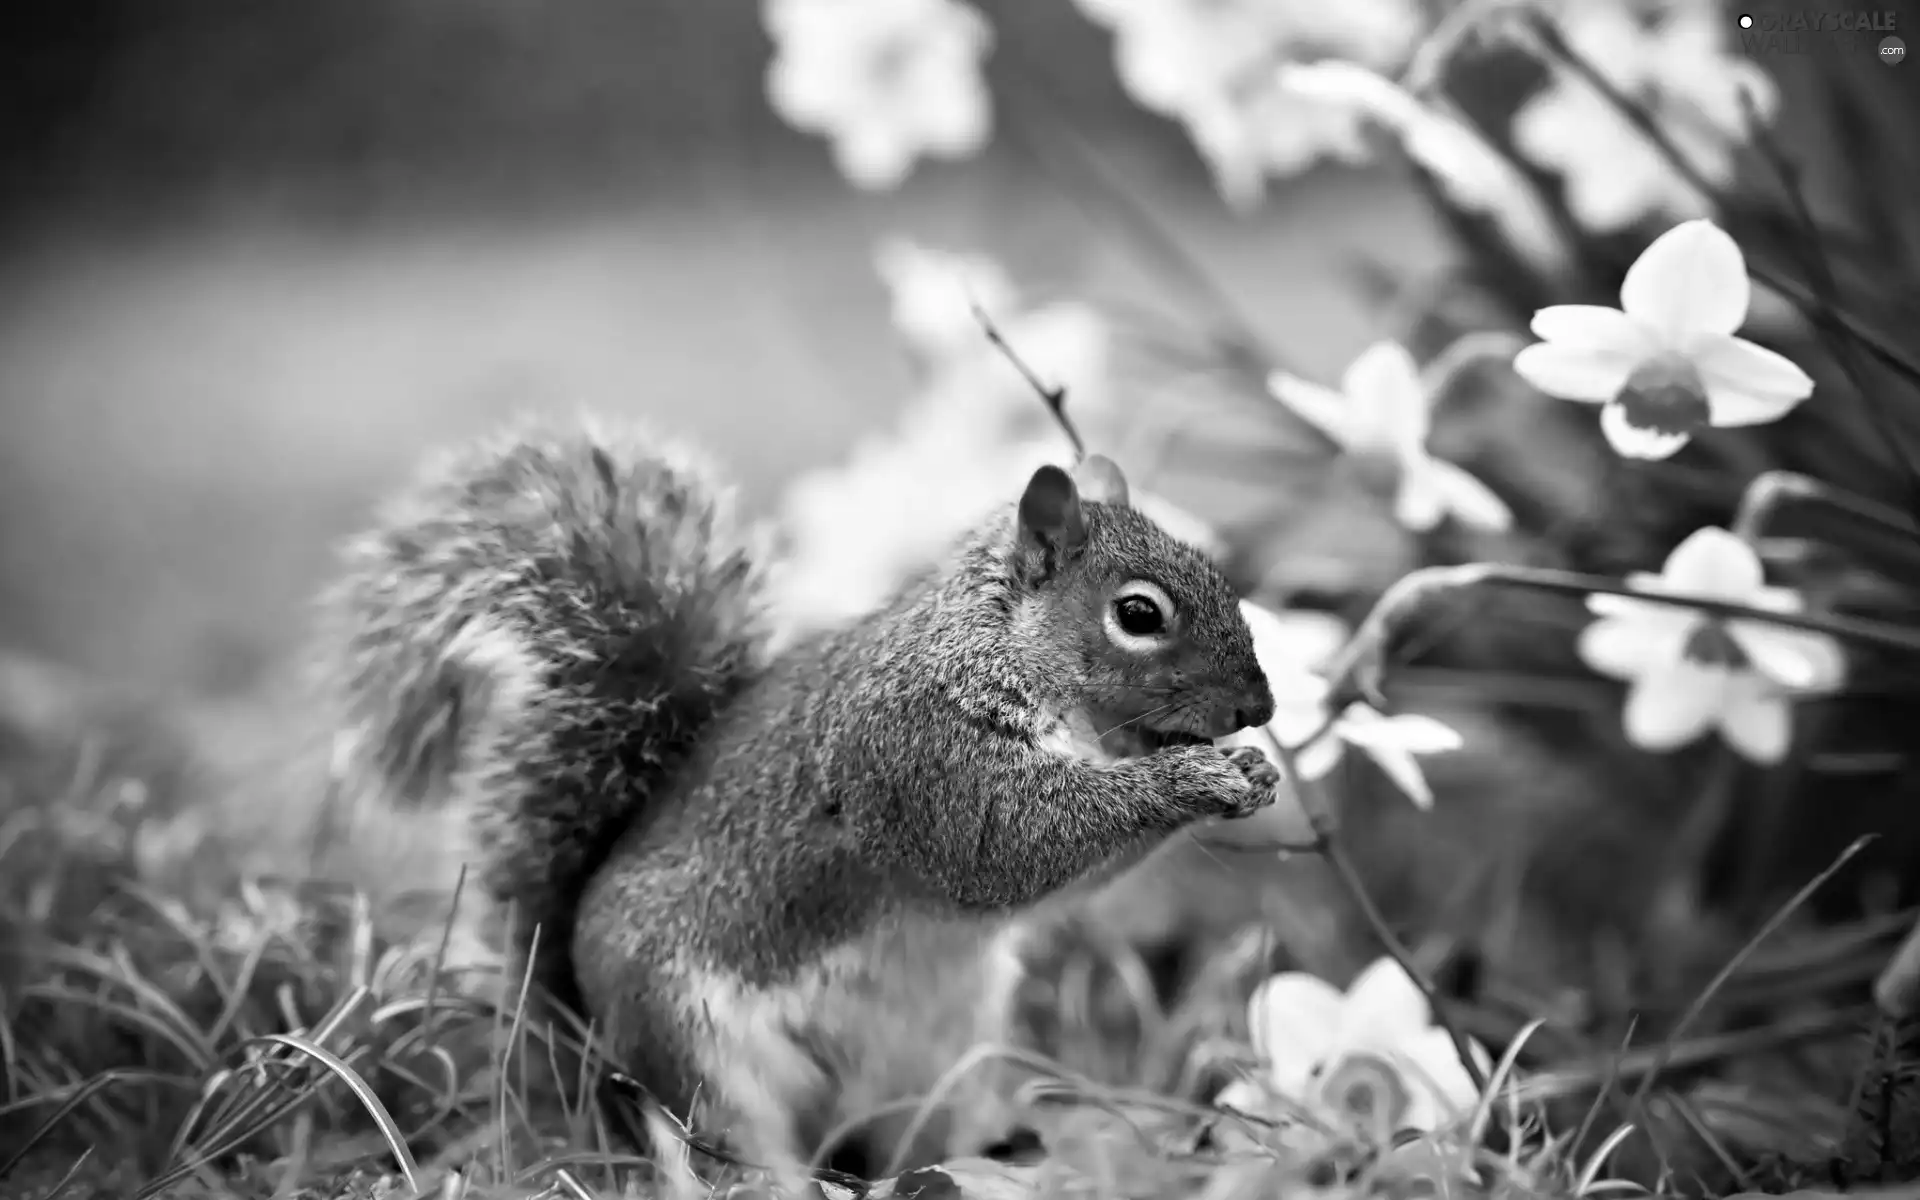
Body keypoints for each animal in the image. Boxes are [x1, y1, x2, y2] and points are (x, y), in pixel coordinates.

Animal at [311, 416, 1274, 1182]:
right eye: (1139, 615)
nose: (1259, 709)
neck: (995, 645)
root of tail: (585, 1048)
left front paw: (1253, 771)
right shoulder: (917, 756)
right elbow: (1008, 845)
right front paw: (1192, 779)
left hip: (938, 1064)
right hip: (695, 1049)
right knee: (725, 1154)